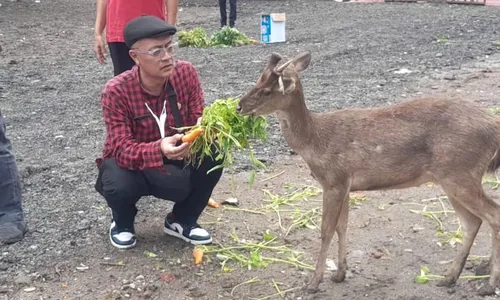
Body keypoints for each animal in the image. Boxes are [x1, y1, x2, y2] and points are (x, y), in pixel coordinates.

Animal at [236, 51, 500, 296]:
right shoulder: (345, 185)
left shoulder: (334, 180)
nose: (238, 105)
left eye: (267, 90)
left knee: (492, 214)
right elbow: (342, 227)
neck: (315, 142)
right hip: (451, 178)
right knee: (472, 222)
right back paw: (449, 277)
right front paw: (340, 273)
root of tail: (493, 128)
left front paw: (313, 283)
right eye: (256, 80)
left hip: (461, 173)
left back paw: (488, 284)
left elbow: (326, 230)